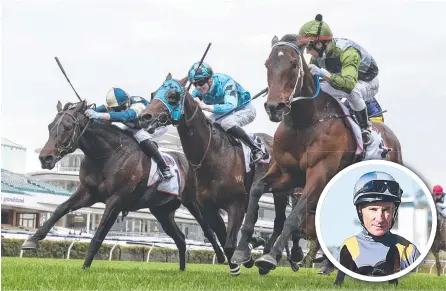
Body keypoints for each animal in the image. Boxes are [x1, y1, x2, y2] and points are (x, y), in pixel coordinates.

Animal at [21, 100, 225, 272]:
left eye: (68, 127)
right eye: (50, 126)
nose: (45, 158)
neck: (107, 154)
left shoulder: (116, 200)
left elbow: (99, 233)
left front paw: (85, 267)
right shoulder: (87, 193)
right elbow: (60, 209)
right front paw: (32, 240)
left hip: (192, 202)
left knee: (208, 230)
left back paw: (222, 257)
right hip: (162, 211)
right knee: (181, 239)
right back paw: (182, 270)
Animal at [141, 73, 308, 276]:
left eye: (173, 95)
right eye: (153, 94)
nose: (144, 116)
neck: (213, 156)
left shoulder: (236, 204)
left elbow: (229, 243)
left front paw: (243, 262)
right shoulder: (208, 208)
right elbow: (222, 236)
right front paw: (243, 257)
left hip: (280, 191)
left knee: (279, 222)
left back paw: (277, 256)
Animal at [232, 33, 402, 278]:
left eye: (294, 64)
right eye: (267, 64)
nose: (274, 107)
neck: (305, 122)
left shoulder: (319, 174)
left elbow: (294, 217)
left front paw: (270, 258)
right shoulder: (287, 174)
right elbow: (255, 191)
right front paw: (242, 251)